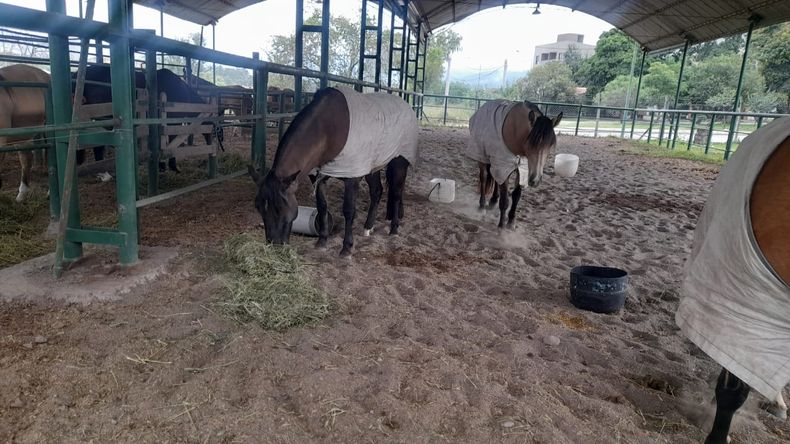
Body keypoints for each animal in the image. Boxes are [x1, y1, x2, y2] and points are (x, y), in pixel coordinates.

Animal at [248, 86, 418, 257]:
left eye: (280, 207)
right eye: (258, 207)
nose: (274, 245)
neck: (327, 129)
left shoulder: (352, 176)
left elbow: (349, 210)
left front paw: (346, 248)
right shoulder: (317, 176)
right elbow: (322, 206)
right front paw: (322, 241)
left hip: (399, 162)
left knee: (396, 194)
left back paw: (394, 229)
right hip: (372, 167)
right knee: (377, 191)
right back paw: (368, 228)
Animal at [466, 99, 562, 228]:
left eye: (550, 145)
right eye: (530, 144)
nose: (535, 180)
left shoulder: (523, 170)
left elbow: (516, 196)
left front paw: (511, 221)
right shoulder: (503, 166)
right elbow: (505, 199)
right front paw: (501, 224)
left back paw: (493, 201)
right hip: (481, 157)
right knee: (484, 178)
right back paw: (482, 205)